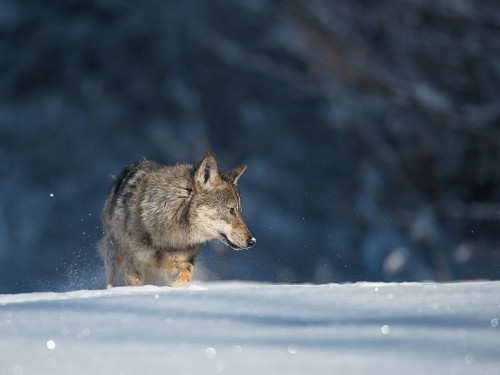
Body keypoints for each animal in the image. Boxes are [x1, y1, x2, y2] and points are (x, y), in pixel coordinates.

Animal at [97, 151, 256, 290]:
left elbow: (187, 274)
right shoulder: (135, 265)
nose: (252, 241)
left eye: (239, 212)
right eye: (231, 210)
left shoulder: (181, 261)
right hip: (113, 255)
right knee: (111, 281)